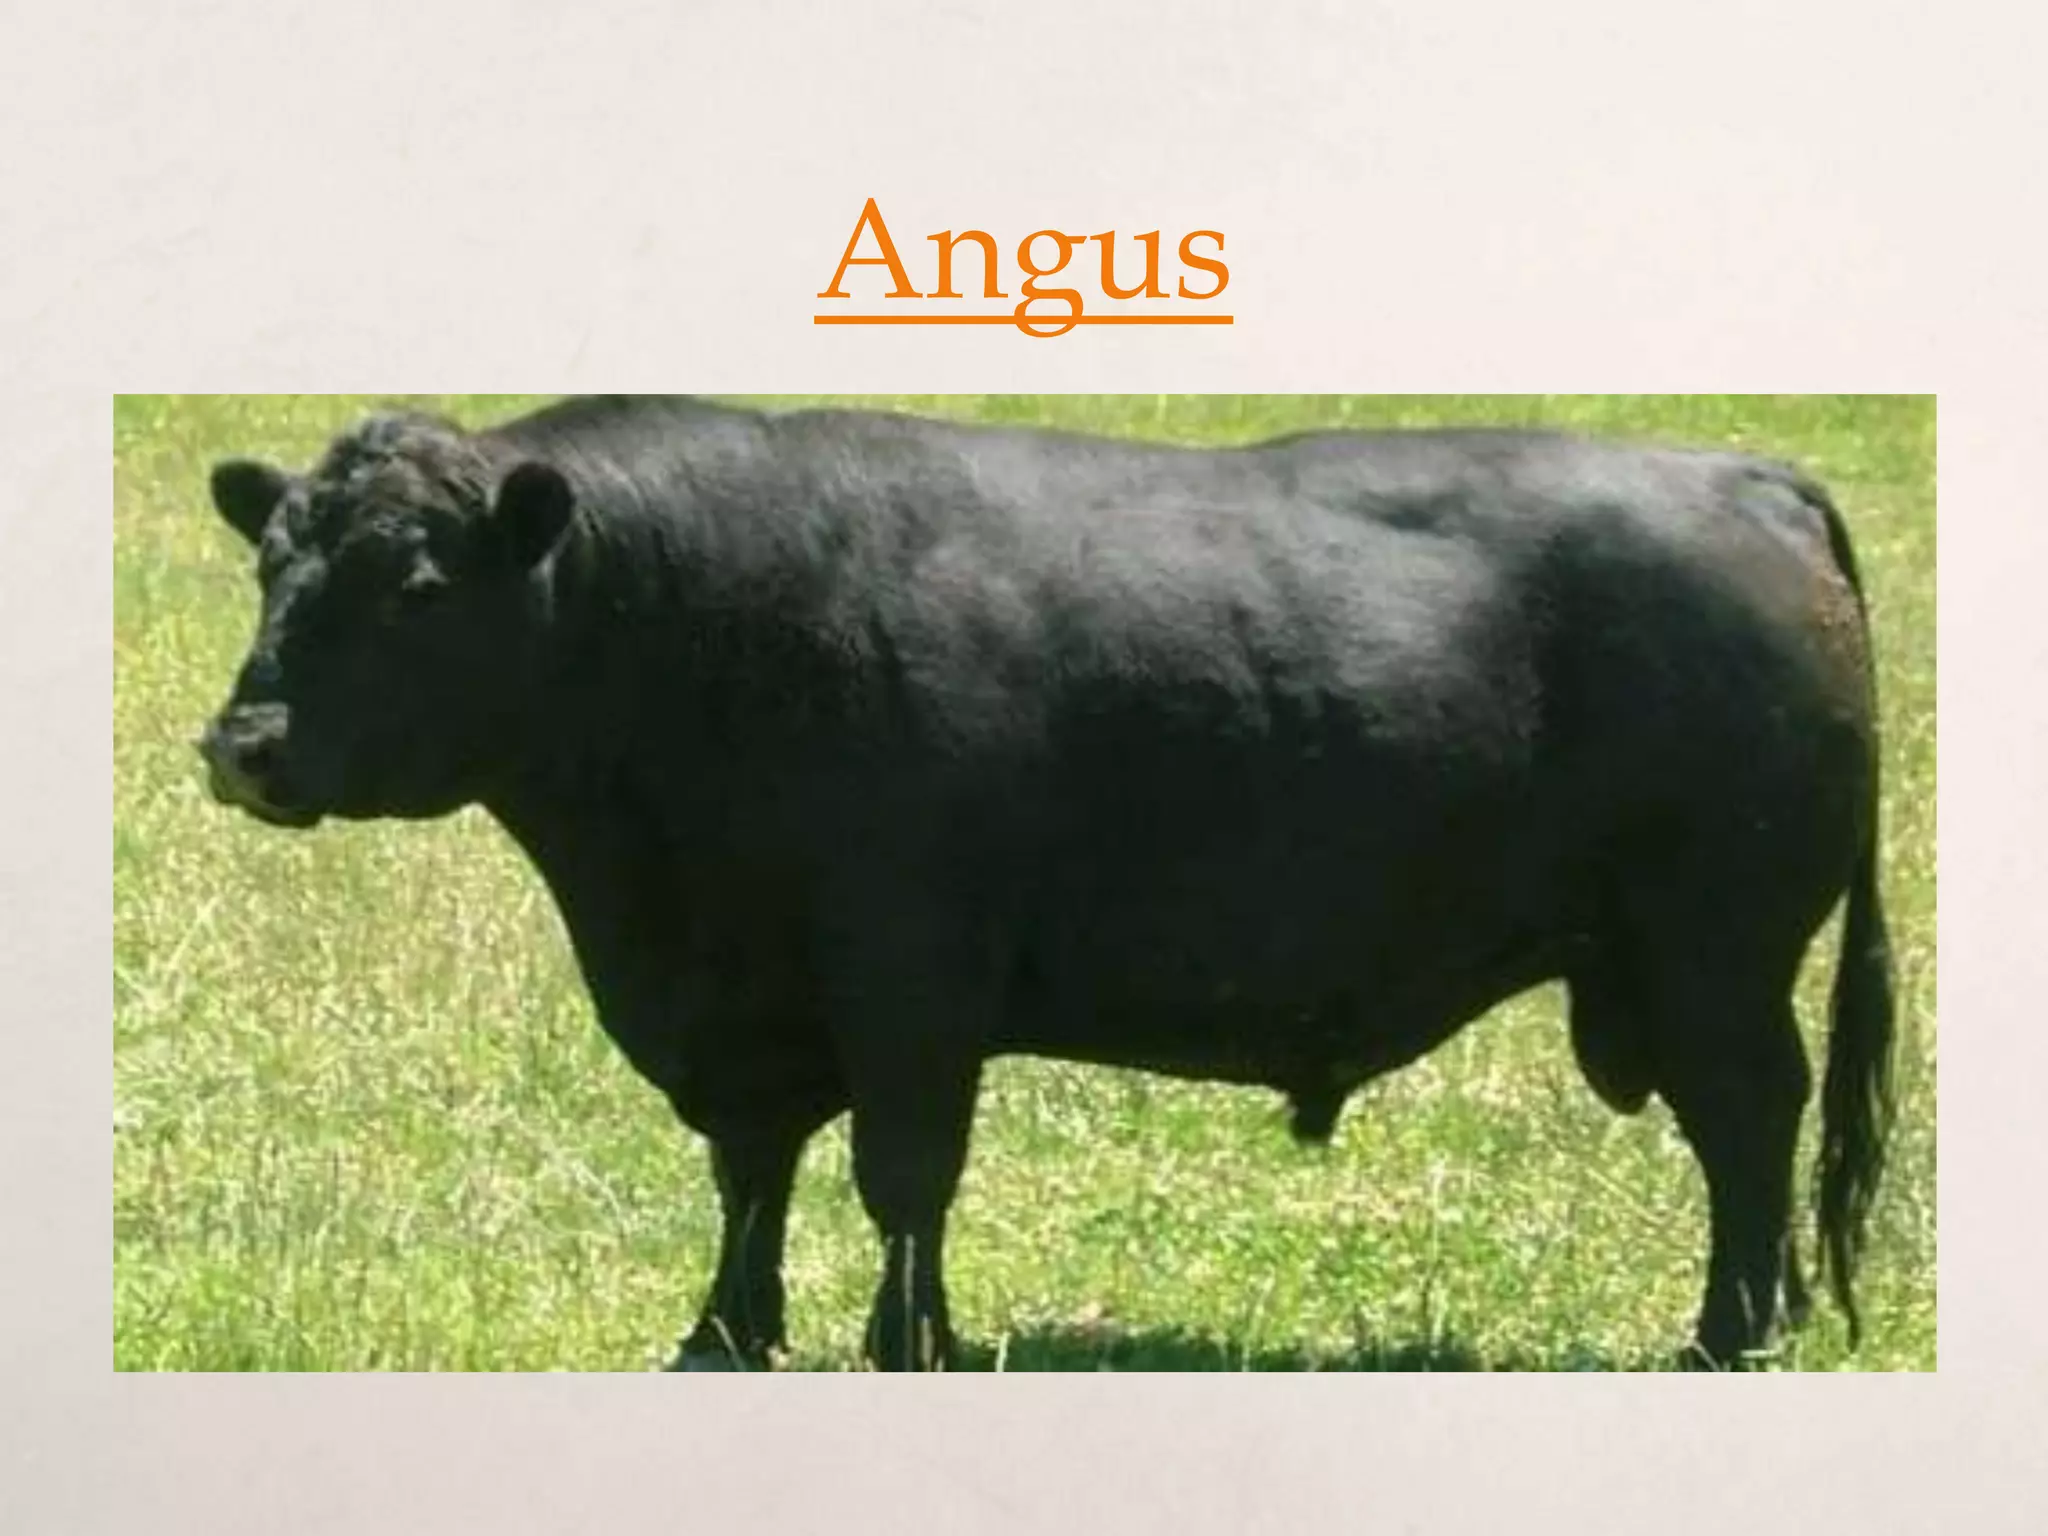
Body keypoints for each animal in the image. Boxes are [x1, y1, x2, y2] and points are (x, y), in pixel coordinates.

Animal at [197, 395, 1894, 1370]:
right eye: (273, 564)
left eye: (417, 584)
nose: (244, 745)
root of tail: (1750, 478)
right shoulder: (748, 999)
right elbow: (753, 1172)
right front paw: (726, 1334)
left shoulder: (908, 982)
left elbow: (901, 1175)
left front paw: (910, 1341)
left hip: (1715, 961)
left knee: (1750, 1129)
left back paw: (1729, 1335)